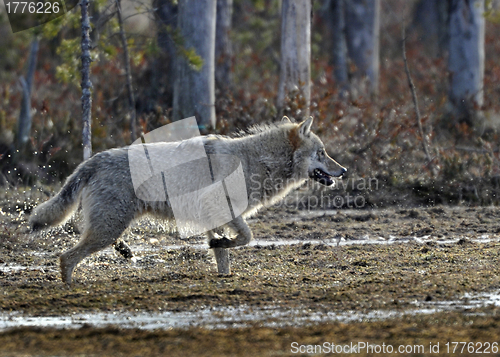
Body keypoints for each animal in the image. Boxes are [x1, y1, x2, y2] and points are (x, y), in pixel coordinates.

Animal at [29, 117, 346, 284]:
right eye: (322, 153)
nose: (343, 171)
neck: (255, 161)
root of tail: (92, 160)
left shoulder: (215, 217)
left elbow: (225, 253)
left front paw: (223, 270)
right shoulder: (222, 209)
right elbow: (246, 237)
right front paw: (222, 245)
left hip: (110, 227)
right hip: (107, 229)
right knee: (66, 257)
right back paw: (71, 286)